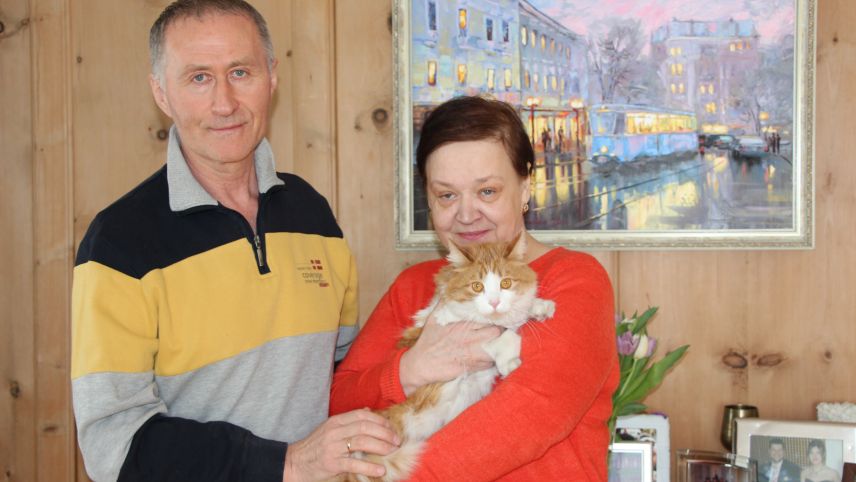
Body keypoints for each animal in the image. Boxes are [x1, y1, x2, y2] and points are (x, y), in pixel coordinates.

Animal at [340, 236, 556, 482]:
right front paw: (508, 357)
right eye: (477, 286)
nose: (494, 303)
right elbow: (498, 333)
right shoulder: (451, 324)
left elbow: (516, 314)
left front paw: (539, 306)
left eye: (506, 283)